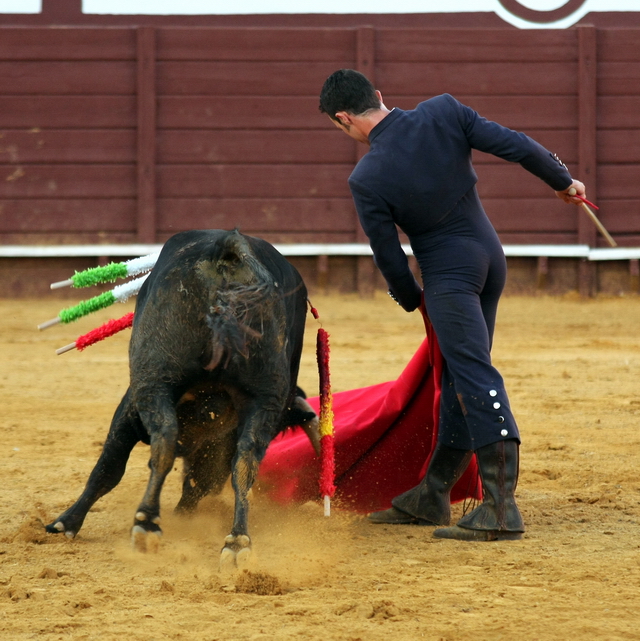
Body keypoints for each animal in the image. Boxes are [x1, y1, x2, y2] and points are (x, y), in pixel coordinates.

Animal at [46, 229, 320, 564]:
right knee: (245, 463)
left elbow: (108, 466)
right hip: (264, 396)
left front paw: (66, 523)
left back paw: (147, 524)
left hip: (154, 378)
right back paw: (236, 542)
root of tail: (228, 248)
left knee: (165, 441)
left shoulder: (131, 404)